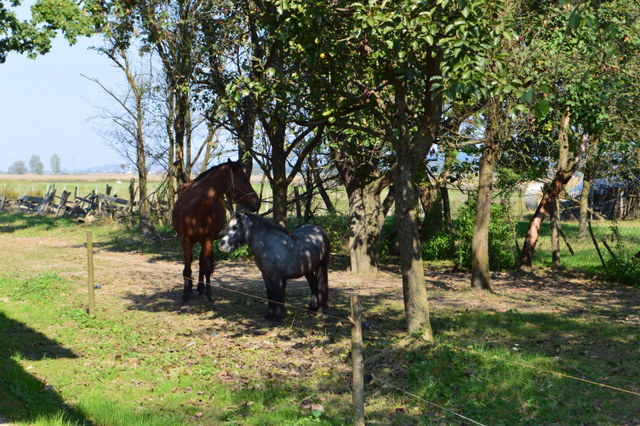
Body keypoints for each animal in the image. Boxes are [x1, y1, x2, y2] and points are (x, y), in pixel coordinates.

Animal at [172, 160, 260, 302]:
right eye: (244, 179)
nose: (257, 203)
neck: (196, 208)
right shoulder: (186, 240)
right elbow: (187, 268)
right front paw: (185, 295)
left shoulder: (208, 239)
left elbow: (207, 268)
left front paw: (208, 295)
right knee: (190, 261)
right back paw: (190, 287)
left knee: (201, 261)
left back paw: (200, 288)